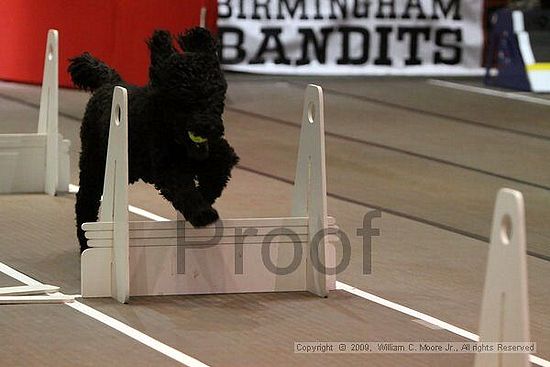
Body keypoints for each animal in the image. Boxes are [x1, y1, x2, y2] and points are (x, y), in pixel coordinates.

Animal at [69, 28, 239, 253]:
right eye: (186, 99)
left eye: (216, 97)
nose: (207, 127)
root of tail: (110, 82)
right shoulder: (167, 168)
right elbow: (185, 190)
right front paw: (203, 213)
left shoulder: (216, 153)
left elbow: (220, 166)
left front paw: (207, 193)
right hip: (95, 162)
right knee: (85, 200)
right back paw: (86, 243)